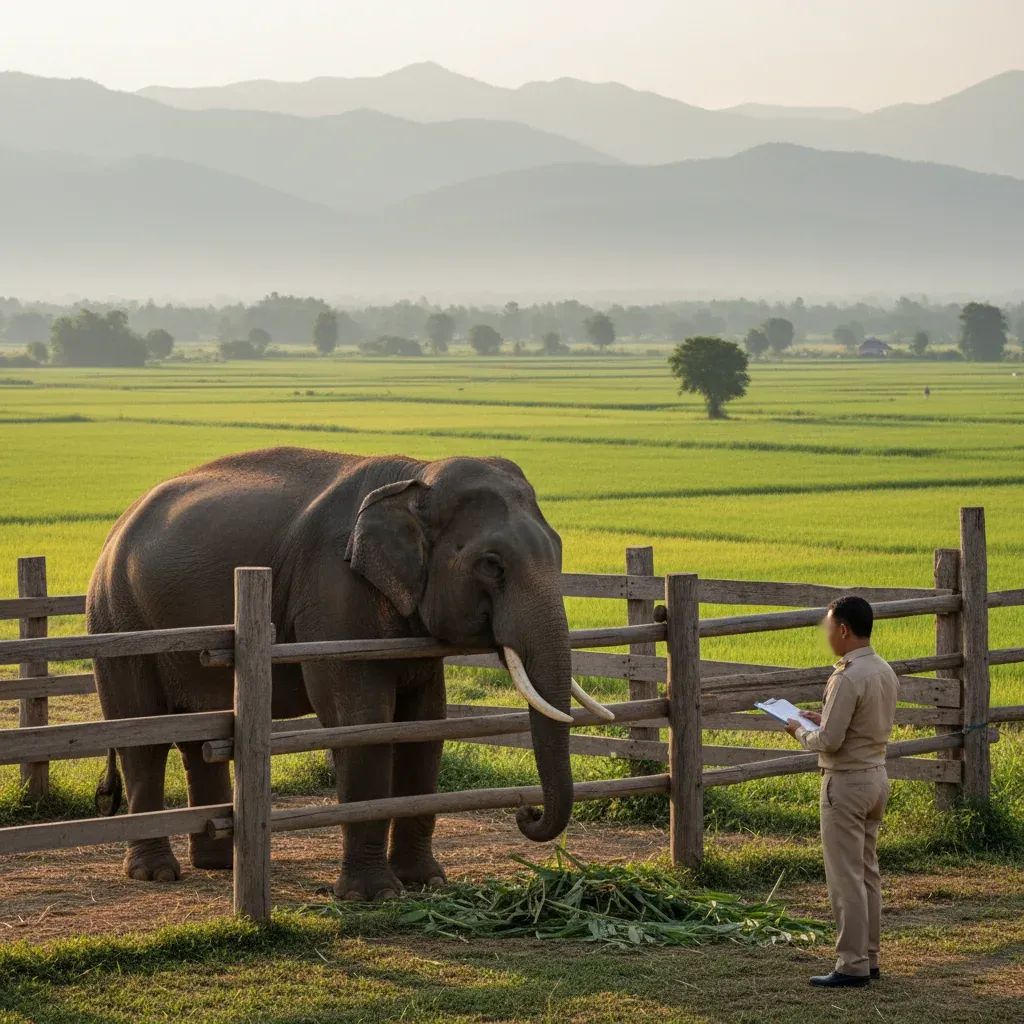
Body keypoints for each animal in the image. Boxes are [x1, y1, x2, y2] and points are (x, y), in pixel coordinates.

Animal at [87, 446, 611, 899]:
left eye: (559, 550)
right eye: (491, 565)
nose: (527, 810)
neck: (415, 475)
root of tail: (115, 528)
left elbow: (426, 727)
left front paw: (427, 882)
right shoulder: (333, 594)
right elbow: (362, 724)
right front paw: (374, 895)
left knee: (200, 734)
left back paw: (220, 864)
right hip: (117, 620)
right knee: (144, 736)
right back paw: (157, 873)